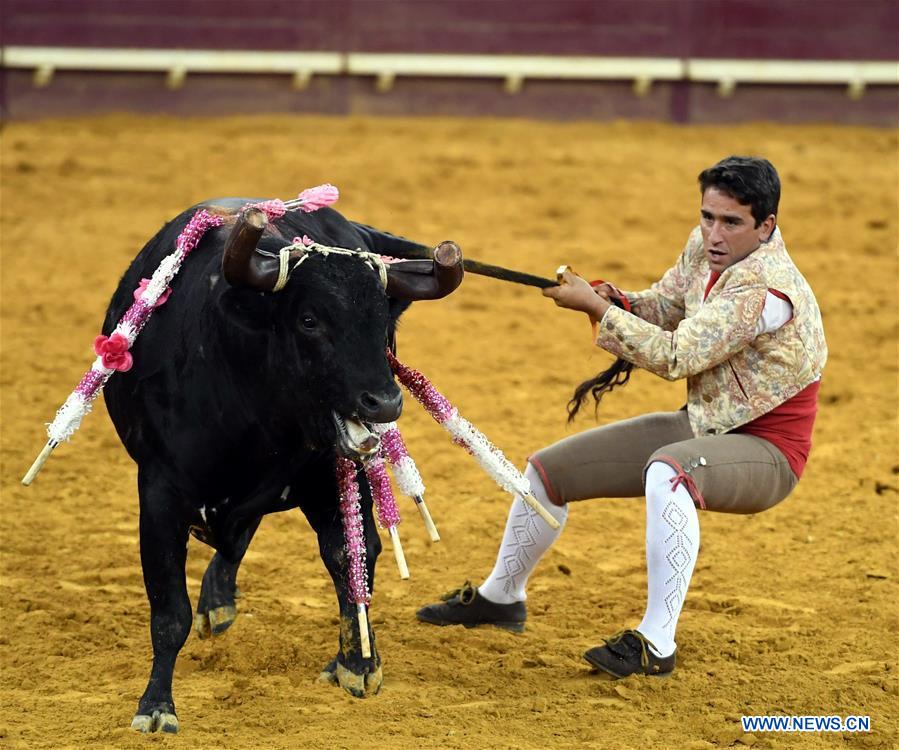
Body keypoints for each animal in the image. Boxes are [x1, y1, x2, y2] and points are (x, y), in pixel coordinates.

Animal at [105, 200, 464, 736]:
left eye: (383, 321)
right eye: (310, 319)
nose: (384, 402)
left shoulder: (329, 473)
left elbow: (351, 556)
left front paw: (358, 664)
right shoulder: (158, 494)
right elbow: (169, 610)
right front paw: (156, 705)